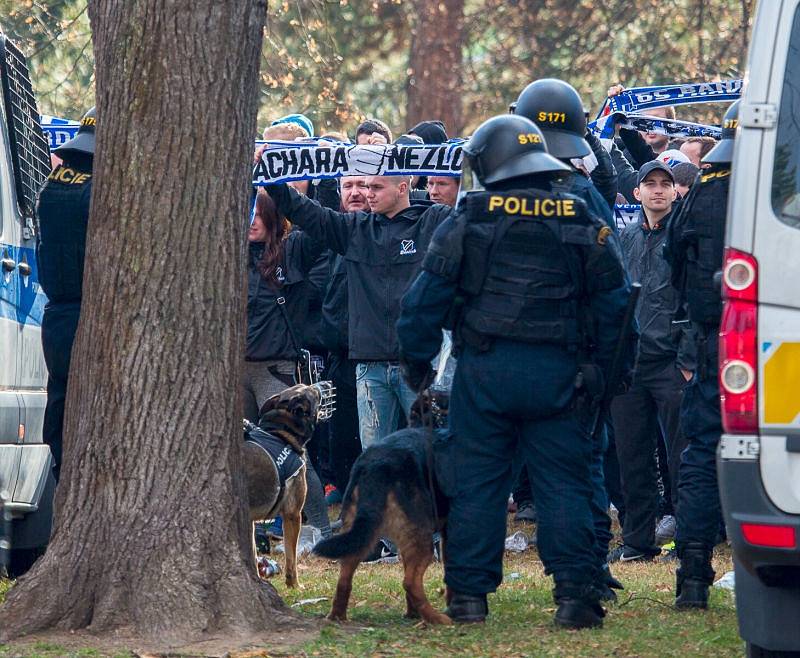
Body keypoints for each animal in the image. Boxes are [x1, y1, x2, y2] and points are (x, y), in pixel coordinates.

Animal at [242, 382, 324, 588]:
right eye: (309, 389)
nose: (319, 385)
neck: (281, 433)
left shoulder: (250, 521)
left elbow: (253, 553)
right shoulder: (293, 514)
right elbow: (291, 557)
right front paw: (294, 585)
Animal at [312, 390, 450, 624]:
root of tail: (373, 466)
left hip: (360, 532)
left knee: (345, 576)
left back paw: (338, 616)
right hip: (420, 537)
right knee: (410, 581)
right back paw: (436, 618)